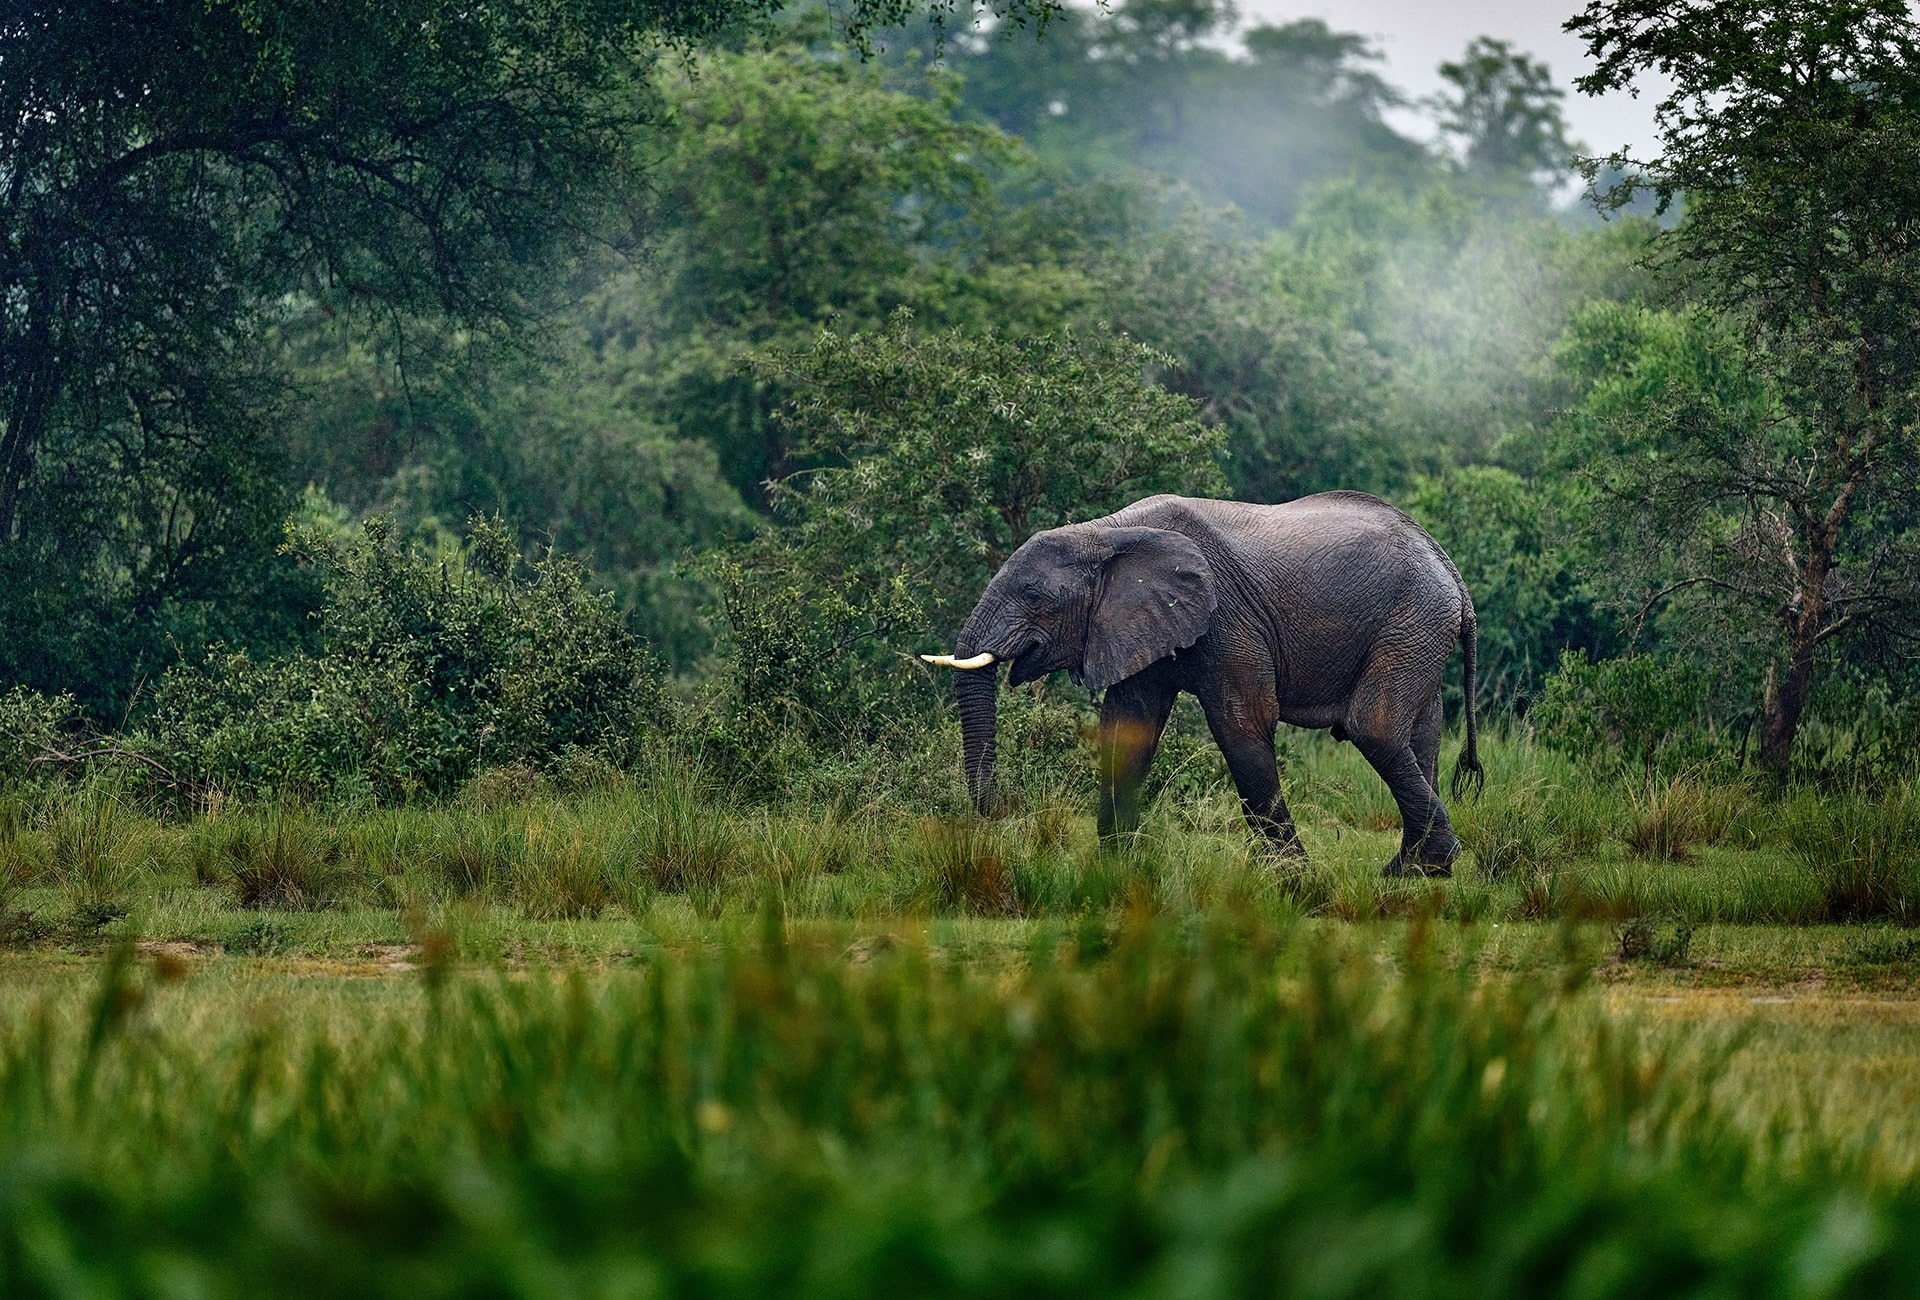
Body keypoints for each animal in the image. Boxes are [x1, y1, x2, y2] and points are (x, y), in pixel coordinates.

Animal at [925, 491, 1482, 875]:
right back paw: (1419, 871)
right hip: (1420, 630)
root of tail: (1450, 567)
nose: (999, 811)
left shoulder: (1229, 621)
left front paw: (1295, 878)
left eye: (1034, 595)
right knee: (1420, 734)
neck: (1106, 533)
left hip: (1412, 619)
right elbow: (1127, 728)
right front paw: (1117, 871)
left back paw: (1419, 868)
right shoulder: (1139, 621)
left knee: (1375, 728)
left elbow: (1241, 727)